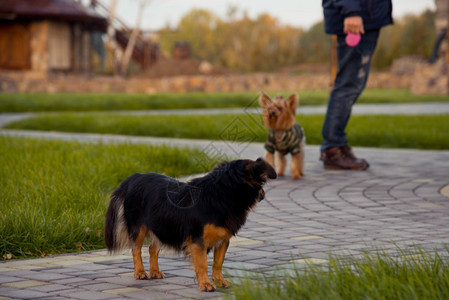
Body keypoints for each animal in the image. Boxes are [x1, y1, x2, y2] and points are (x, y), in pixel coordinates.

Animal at [104, 158, 276, 292]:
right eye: (262, 182)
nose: (263, 194)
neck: (221, 193)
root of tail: (134, 177)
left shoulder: (223, 240)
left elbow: (218, 263)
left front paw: (219, 281)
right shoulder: (197, 240)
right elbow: (202, 263)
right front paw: (205, 284)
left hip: (163, 225)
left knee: (153, 248)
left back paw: (155, 271)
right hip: (138, 228)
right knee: (136, 250)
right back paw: (140, 272)